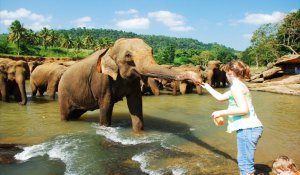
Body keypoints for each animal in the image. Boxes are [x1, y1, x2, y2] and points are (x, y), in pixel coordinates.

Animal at [57, 37, 200, 132]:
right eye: (128, 55)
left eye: (152, 51)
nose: (198, 78)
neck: (110, 49)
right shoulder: (102, 79)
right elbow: (106, 105)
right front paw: (104, 128)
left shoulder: (134, 80)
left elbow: (135, 104)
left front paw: (139, 133)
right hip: (64, 93)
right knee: (66, 115)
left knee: (75, 113)